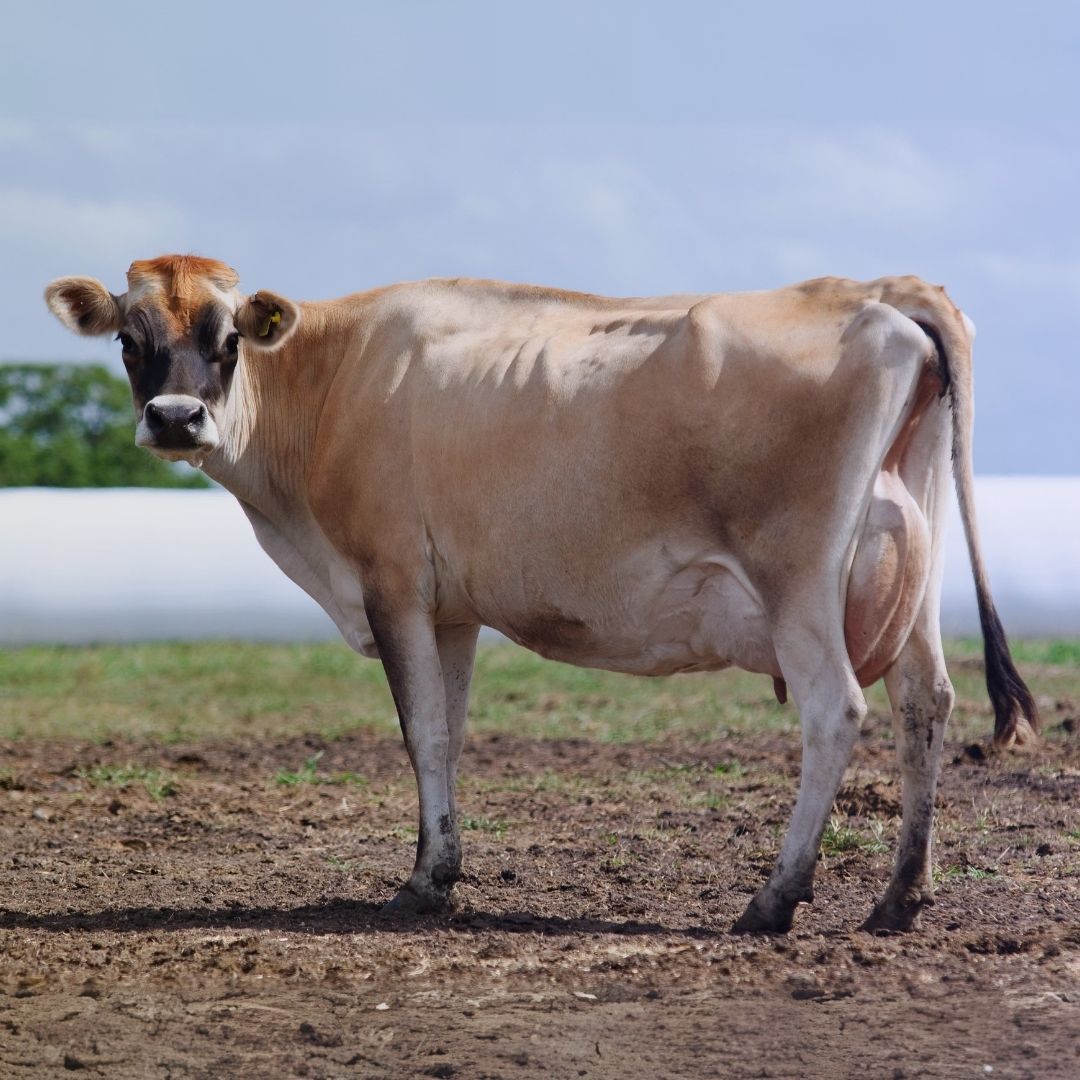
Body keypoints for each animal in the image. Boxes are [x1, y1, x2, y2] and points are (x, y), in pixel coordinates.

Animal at [45, 255, 1037, 933]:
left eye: (229, 340)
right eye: (130, 341)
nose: (177, 419)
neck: (331, 379)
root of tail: (879, 288)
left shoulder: (390, 582)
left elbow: (421, 732)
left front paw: (420, 884)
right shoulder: (450, 607)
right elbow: (447, 732)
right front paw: (440, 866)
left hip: (798, 580)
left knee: (836, 712)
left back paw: (773, 899)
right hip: (911, 564)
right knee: (925, 702)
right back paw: (899, 897)